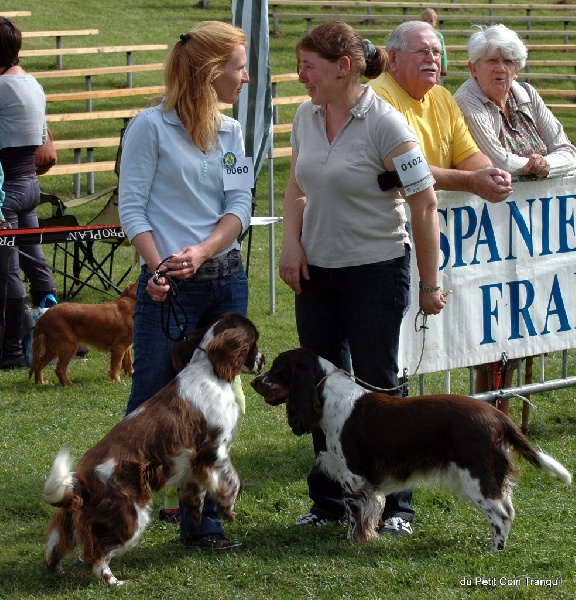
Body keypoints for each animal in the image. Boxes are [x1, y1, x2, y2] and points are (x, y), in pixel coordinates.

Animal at [43, 312, 266, 584]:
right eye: (254, 341)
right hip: (128, 515)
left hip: (71, 518)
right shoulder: (215, 449)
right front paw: (228, 510)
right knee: (96, 553)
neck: (210, 371)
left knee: (55, 545)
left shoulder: (195, 463)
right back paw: (115, 582)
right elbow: (231, 481)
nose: (264, 359)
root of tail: (80, 482)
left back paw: (56, 570)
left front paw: (195, 513)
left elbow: (196, 489)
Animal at [252, 350, 572, 552]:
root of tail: (498, 417)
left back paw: (493, 551)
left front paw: (354, 542)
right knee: (508, 508)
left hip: (476, 475)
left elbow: (355, 515)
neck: (327, 396)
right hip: (491, 474)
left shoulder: (353, 477)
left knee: (501, 515)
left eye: (278, 368)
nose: (254, 379)